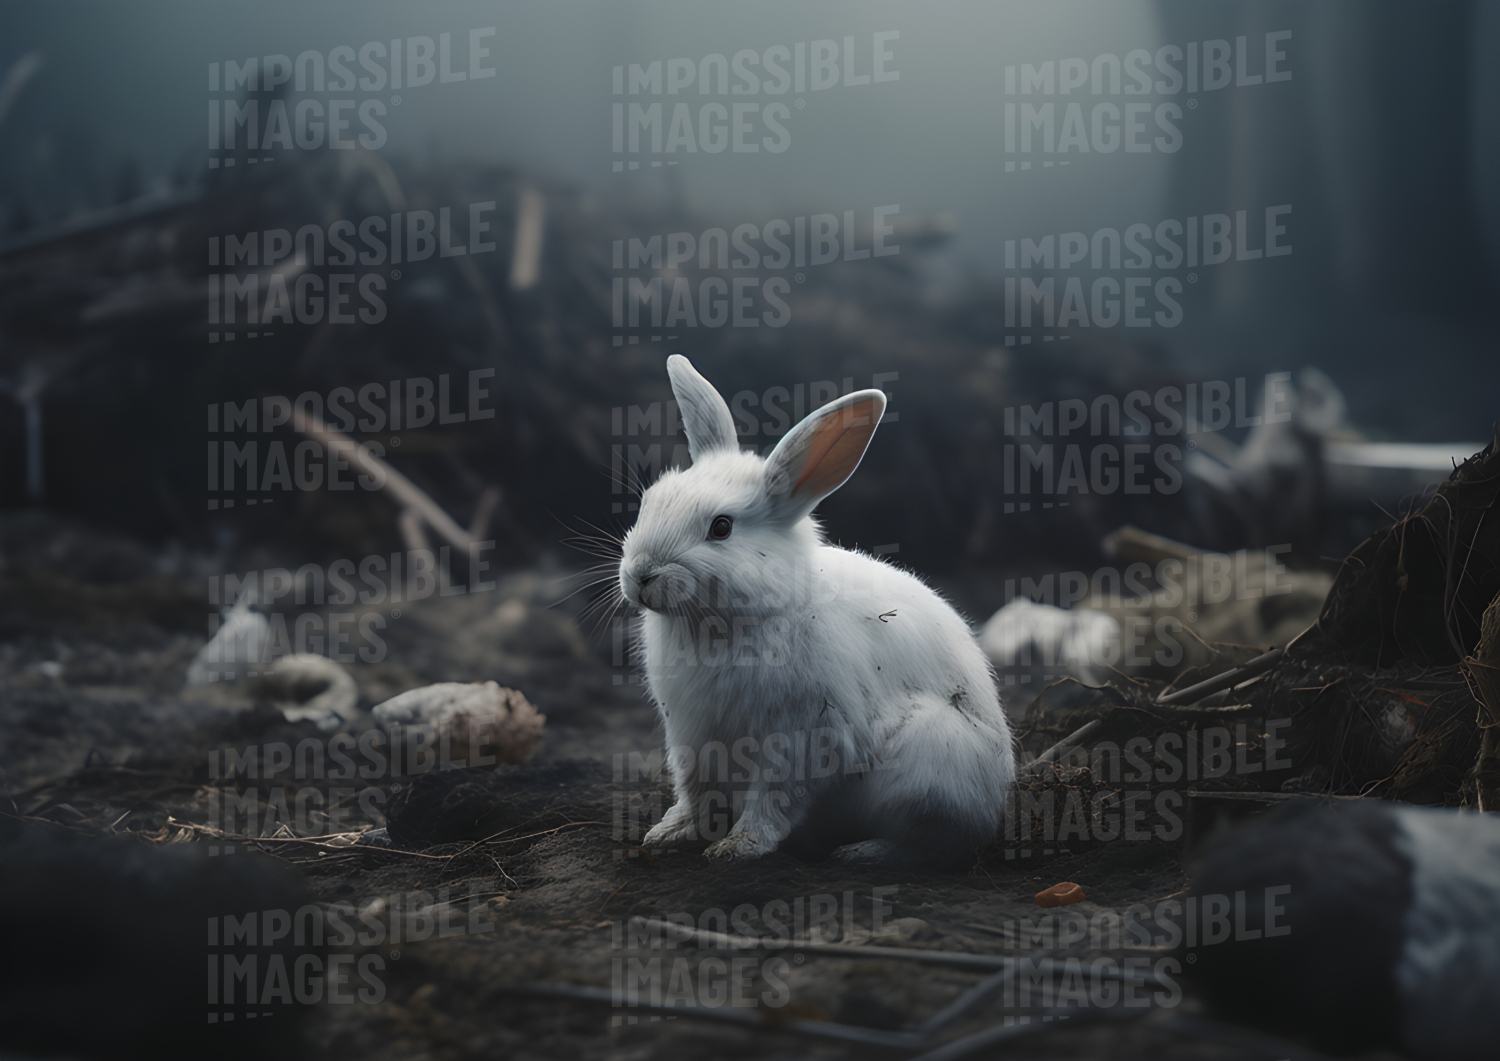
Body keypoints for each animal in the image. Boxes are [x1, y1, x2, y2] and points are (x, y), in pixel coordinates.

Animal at [617, 354, 1015, 865]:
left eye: (721, 527)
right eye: (650, 500)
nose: (640, 575)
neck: (735, 619)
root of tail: (994, 803)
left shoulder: (806, 732)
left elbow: (776, 795)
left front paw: (738, 847)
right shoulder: (691, 735)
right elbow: (695, 790)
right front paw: (670, 834)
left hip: (930, 765)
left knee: (931, 845)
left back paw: (861, 853)